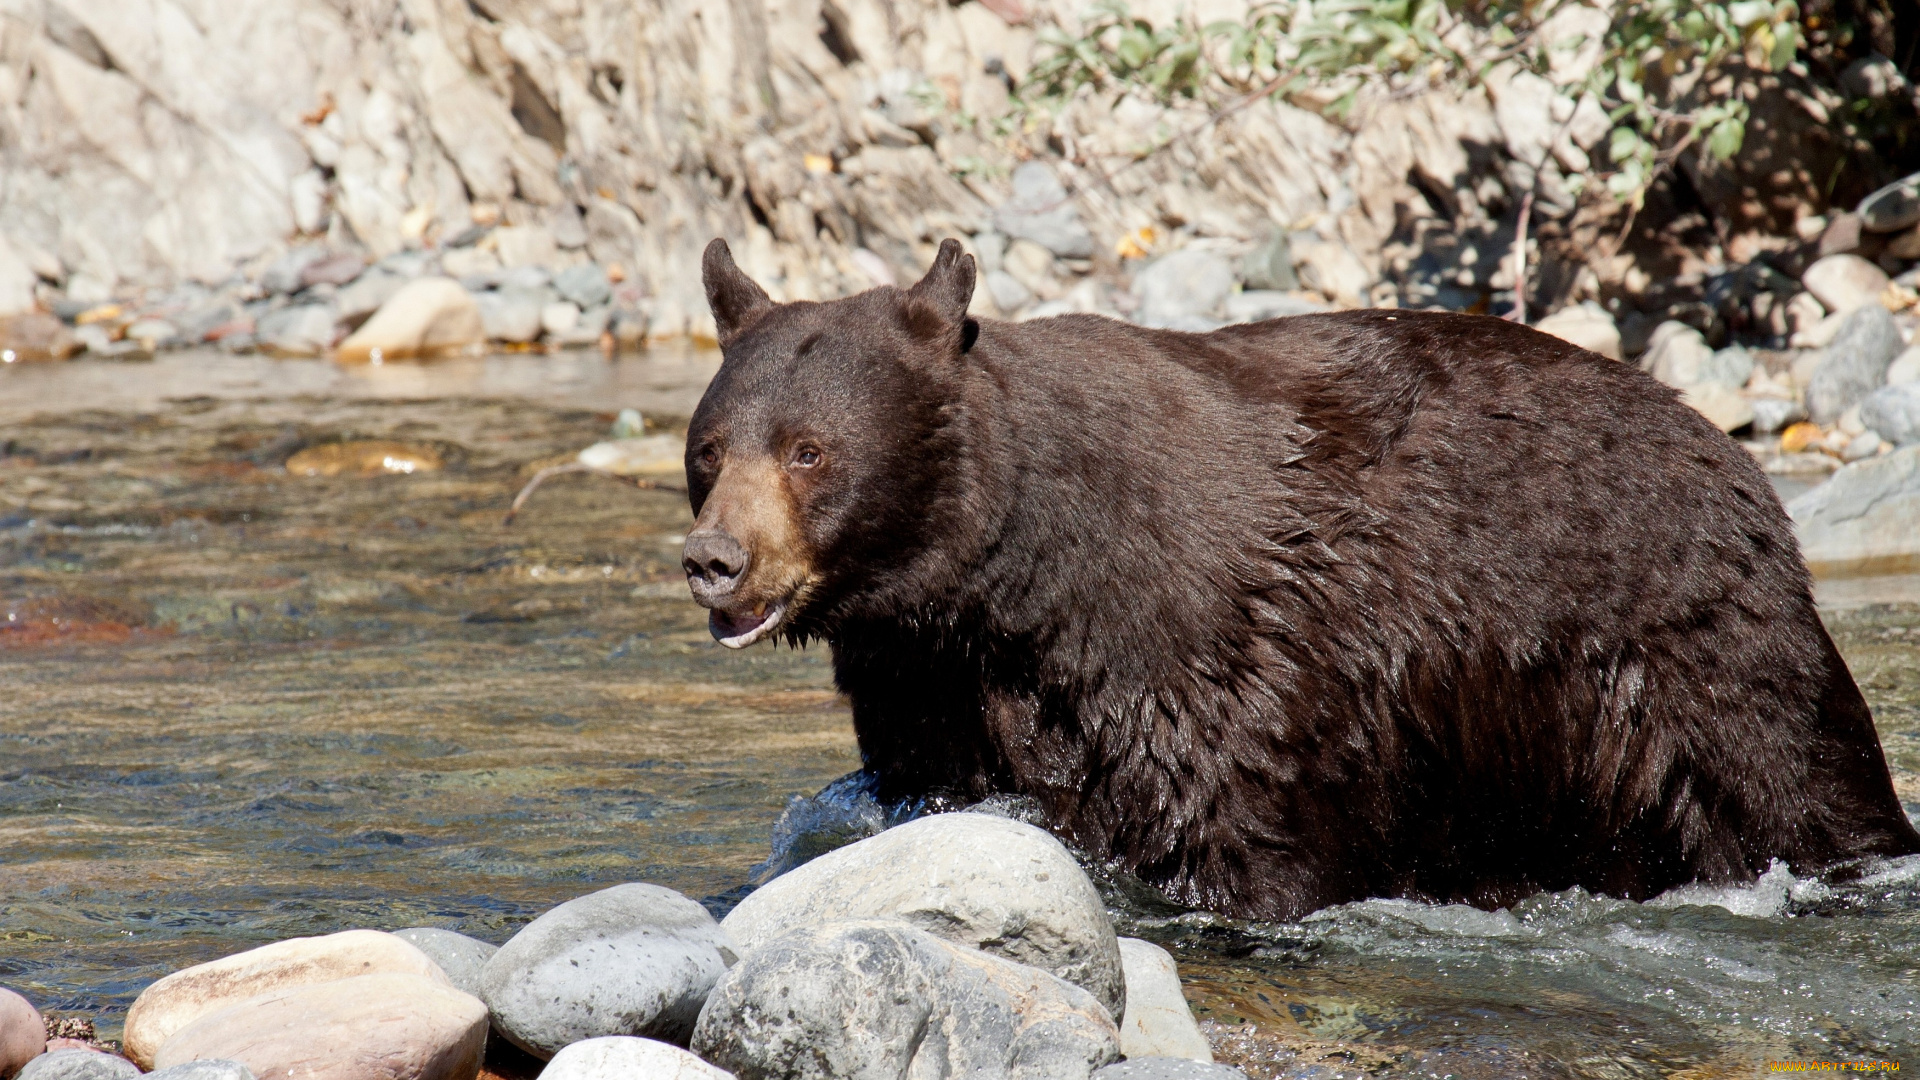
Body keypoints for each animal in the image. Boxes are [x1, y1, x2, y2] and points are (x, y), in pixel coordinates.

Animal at [679, 237, 1920, 914]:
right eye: (709, 450)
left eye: (809, 450)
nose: (712, 559)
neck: (1009, 581)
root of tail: (1736, 457)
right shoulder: (931, 682)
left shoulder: (1208, 656)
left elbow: (1237, 828)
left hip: (1688, 649)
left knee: (1794, 776)